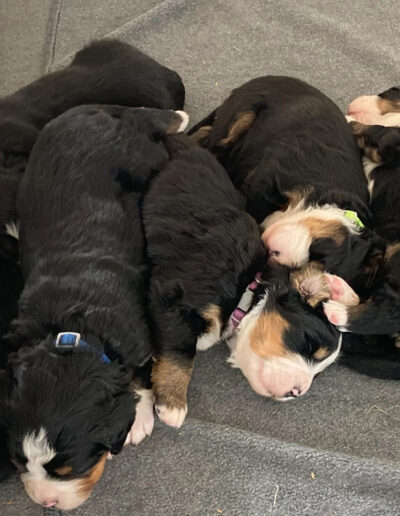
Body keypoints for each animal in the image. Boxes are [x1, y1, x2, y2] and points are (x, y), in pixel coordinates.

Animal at [0, 103, 188, 510]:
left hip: (144, 159)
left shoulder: (138, 337)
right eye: (18, 462)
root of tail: (105, 113)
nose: (46, 504)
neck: (70, 329)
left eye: (69, 469)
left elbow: (139, 375)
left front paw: (139, 421)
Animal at [145, 141, 360, 428]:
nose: (297, 391)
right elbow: (181, 352)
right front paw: (172, 406)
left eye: (318, 372)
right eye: (309, 344)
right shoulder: (174, 296)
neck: (246, 289)